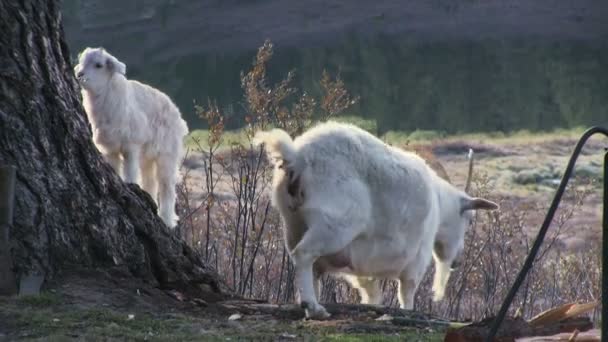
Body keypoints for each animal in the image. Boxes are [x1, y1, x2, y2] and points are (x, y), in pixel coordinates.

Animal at [254, 121, 496, 320]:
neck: (438, 202)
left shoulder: (364, 270)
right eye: (469, 219)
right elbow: (407, 293)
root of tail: (297, 158)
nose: (457, 262)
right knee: (304, 254)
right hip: (334, 224)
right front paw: (408, 311)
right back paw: (314, 308)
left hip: (293, 223)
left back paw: (309, 305)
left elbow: (371, 293)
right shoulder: (417, 258)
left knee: (307, 264)